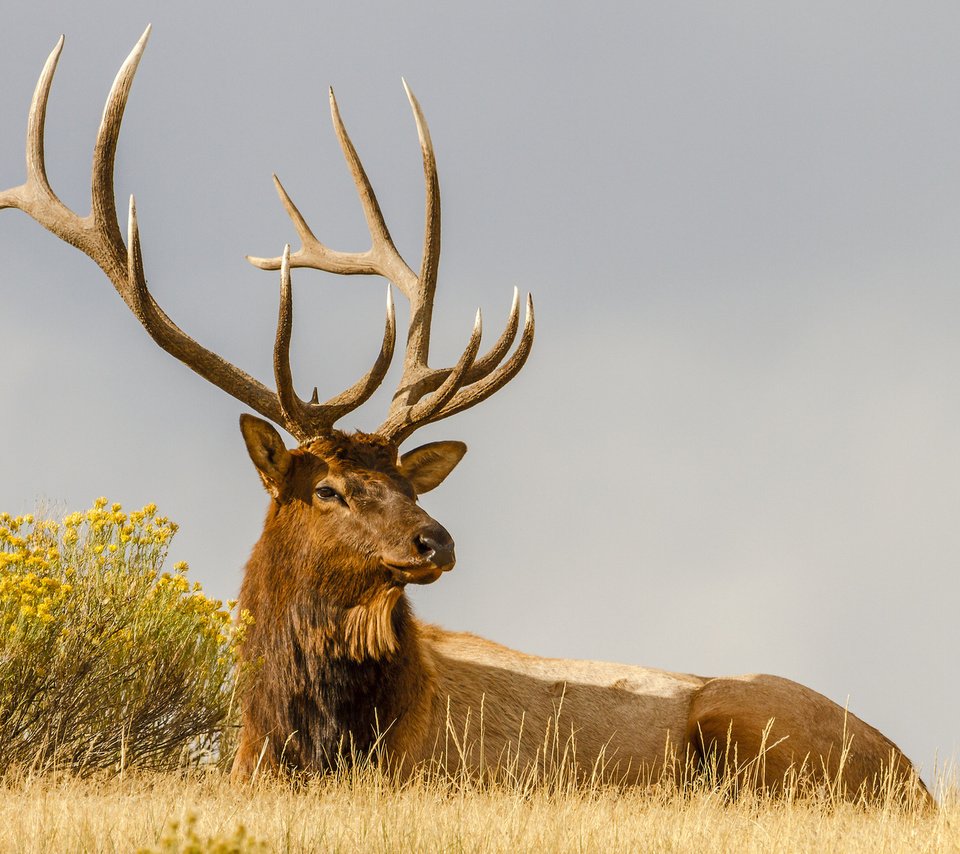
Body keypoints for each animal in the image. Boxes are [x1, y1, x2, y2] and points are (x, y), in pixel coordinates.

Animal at [0, 28, 928, 804]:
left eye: (409, 482)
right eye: (327, 488)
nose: (433, 541)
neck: (313, 742)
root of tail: (912, 774)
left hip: (748, 723)